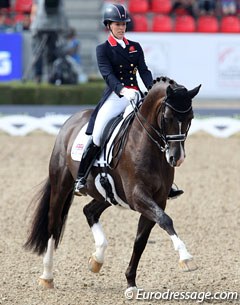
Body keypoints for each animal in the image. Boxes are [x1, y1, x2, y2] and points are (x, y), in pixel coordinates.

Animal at [24, 75, 201, 292]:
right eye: (167, 118)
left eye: (190, 118)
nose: (177, 158)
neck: (146, 144)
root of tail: (70, 121)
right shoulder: (137, 196)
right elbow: (165, 220)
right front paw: (186, 258)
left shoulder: (158, 199)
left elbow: (141, 240)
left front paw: (131, 282)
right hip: (61, 185)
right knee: (53, 225)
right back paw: (47, 276)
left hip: (108, 194)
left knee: (89, 211)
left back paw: (97, 259)